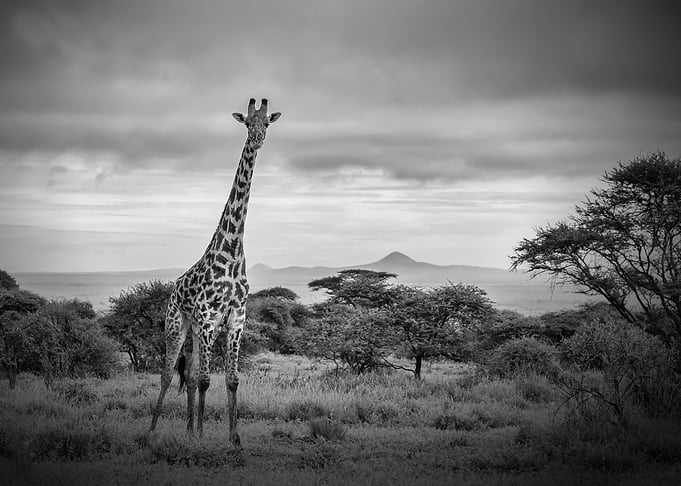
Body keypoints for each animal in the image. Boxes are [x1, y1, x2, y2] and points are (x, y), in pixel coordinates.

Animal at [149, 98, 281, 445]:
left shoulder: (236, 320)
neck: (233, 249)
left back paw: (187, 427)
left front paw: (233, 437)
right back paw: (153, 428)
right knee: (169, 373)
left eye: (267, 122)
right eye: (247, 122)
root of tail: (174, 287)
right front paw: (203, 434)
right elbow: (207, 379)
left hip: (196, 330)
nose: (257, 139)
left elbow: (231, 380)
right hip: (177, 324)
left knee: (189, 374)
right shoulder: (209, 320)